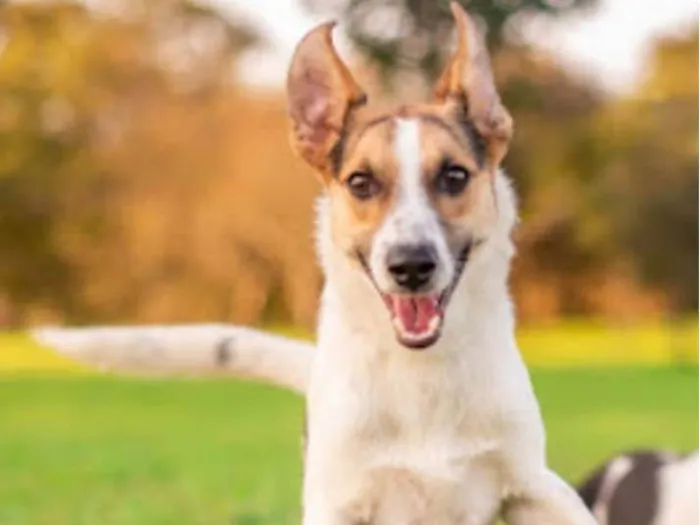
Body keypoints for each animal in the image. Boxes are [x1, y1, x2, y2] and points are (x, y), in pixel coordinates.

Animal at [37, 5, 596, 524]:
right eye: (361, 182)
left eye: (455, 176)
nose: (410, 265)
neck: (419, 370)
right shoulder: (339, 500)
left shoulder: (533, 485)